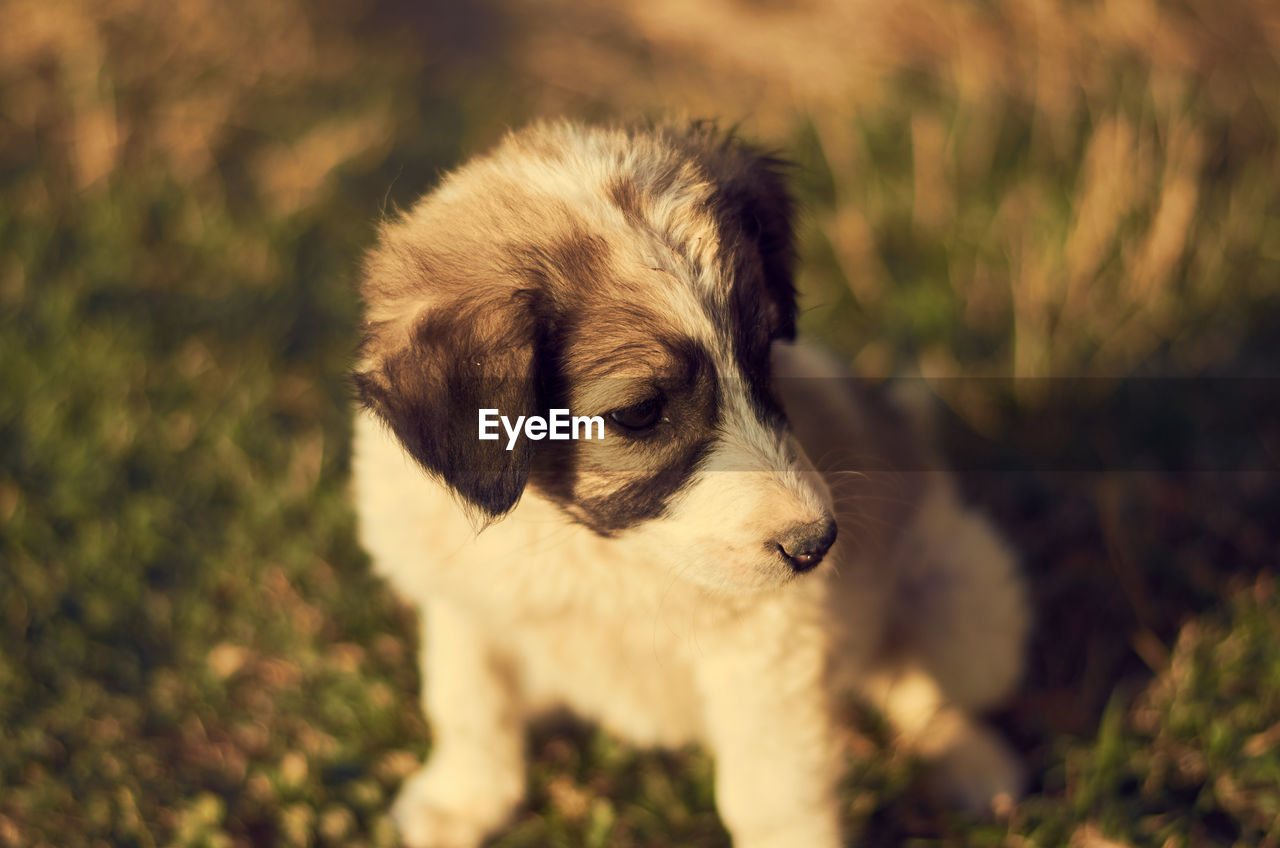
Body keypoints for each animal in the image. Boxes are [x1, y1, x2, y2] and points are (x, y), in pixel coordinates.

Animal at [353, 121, 1029, 848]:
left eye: (764, 356)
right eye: (638, 412)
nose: (818, 545)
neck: (579, 544)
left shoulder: (769, 649)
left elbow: (773, 792)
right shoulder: (462, 608)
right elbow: (468, 707)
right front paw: (462, 800)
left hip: (965, 599)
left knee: (927, 690)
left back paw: (974, 764)